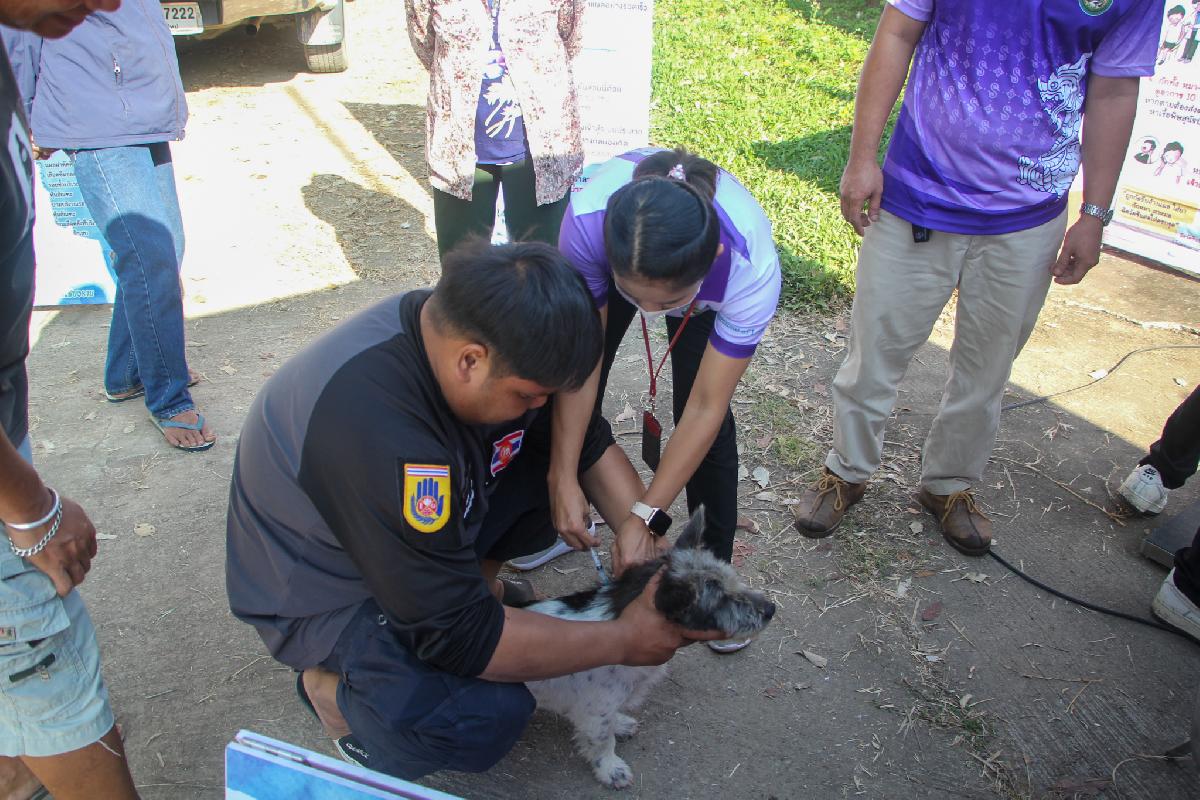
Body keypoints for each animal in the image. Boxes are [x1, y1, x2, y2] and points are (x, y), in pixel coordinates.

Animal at [521, 507, 776, 789]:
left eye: (732, 578)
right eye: (721, 601)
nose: (771, 609)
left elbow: (611, 722)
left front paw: (620, 724)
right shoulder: (597, 710)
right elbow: (602, 743)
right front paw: (611, 770)